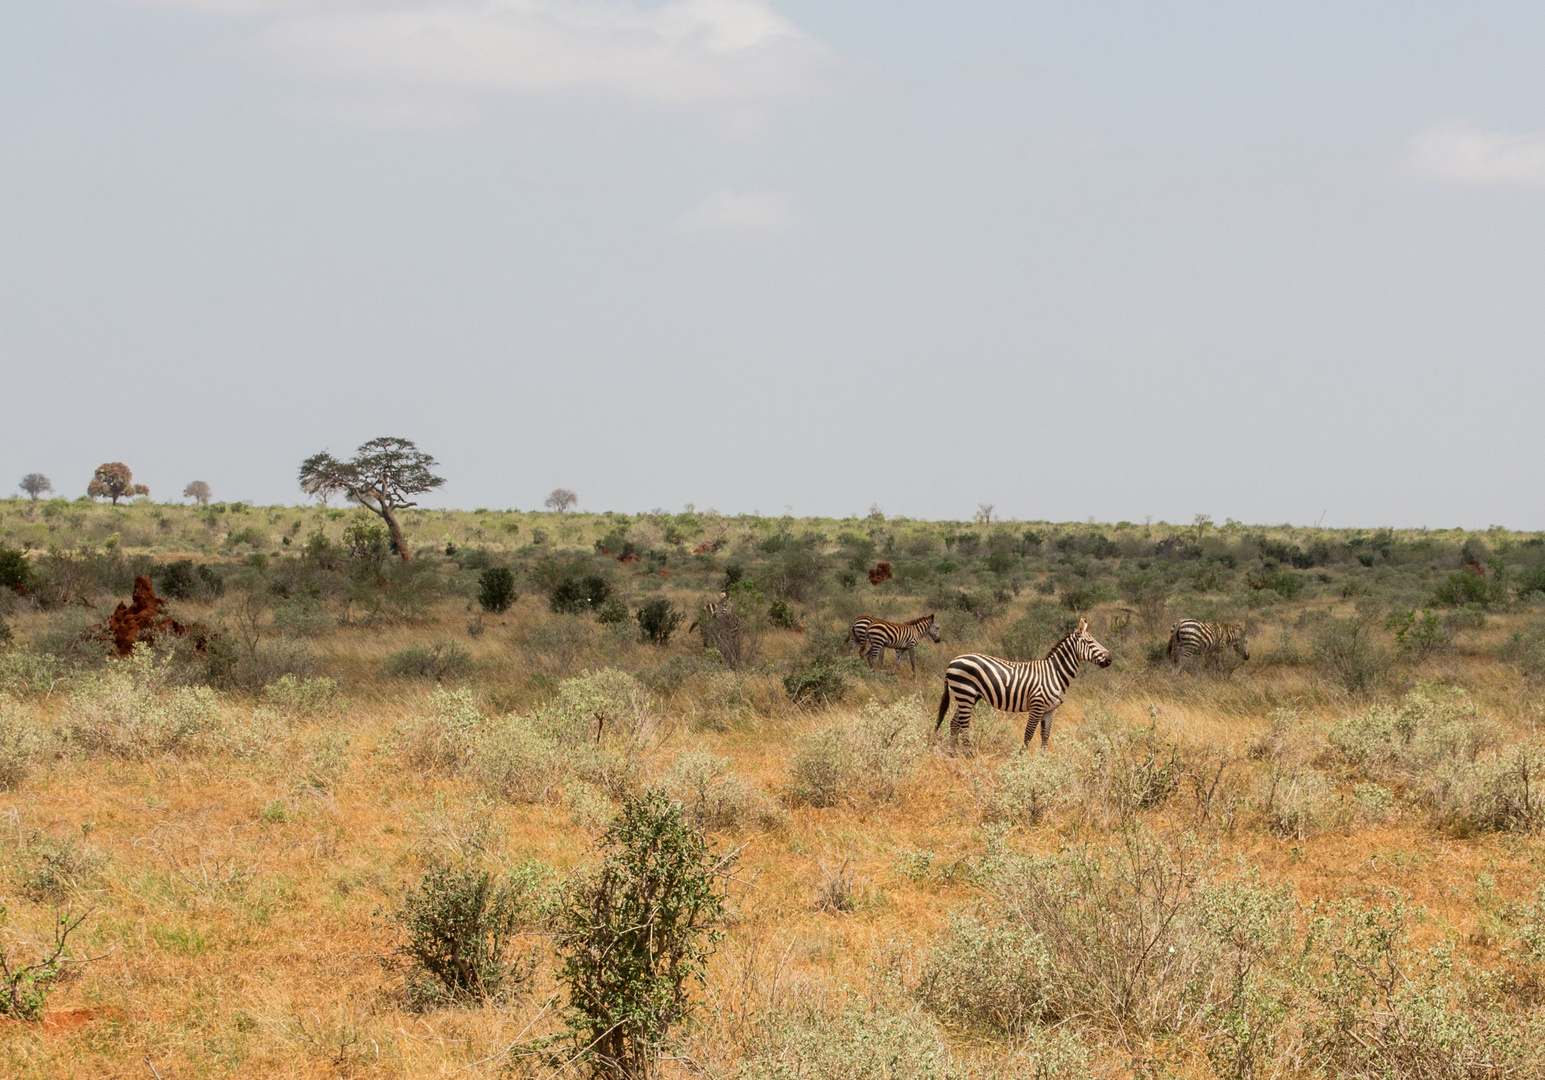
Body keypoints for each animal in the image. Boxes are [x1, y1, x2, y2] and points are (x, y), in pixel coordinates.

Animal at [927, 618, 1112, 750]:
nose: (1110, 659)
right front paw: (1021, 758)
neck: (1055, 674)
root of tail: (952, 661)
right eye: (1090, 642)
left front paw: (1043, 761)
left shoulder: (1050, 710)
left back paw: (953, 753)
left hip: (968, 696)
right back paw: (968, 754)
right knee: (964, 725)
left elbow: (1045, 736)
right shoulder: (1037, 706)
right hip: (965, 693)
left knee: (954, 723)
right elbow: (1028, 735)